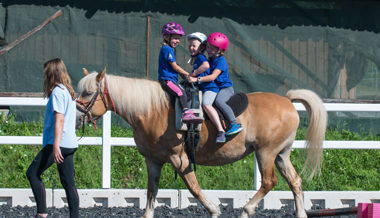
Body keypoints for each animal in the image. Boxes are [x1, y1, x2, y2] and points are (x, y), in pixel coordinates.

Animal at [76, 68, 326, 218]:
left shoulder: (179, 158)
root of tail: (287, 100)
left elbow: (193, 187)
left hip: (266, 153)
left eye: (88, 93)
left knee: (268, 181)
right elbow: (151, 192)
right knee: (295, 181)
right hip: (281, 154)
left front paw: (214, 210)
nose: (77, 117)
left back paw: (247, 209)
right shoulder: (153, 161)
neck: (152, 110)